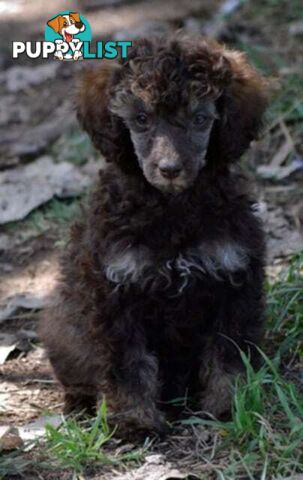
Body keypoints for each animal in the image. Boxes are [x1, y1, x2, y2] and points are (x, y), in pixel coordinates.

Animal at [41, 35, 270, 434]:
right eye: (142, 119)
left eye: (199, 119)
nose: (170, 169)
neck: (171, 210)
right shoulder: (115, 289)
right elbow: (128, 363)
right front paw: (136, 420)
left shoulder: (233, 275)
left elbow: (228, 352)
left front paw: (229, 404)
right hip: (64, 330)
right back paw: (79, 405)